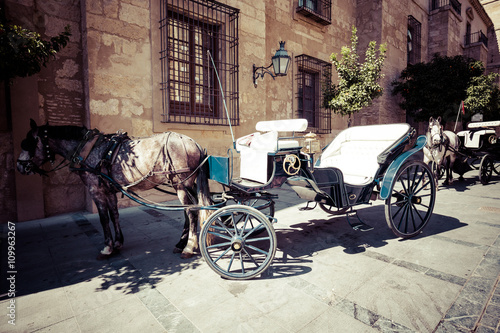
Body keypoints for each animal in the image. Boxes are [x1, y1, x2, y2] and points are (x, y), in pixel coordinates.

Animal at [16, 119, 212, 260]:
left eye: (27, 143)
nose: (20, 166)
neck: (88, 149)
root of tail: (194, 144)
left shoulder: (96, 190)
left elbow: (103, 218)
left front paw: (107, 248)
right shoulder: (109, 191)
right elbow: (114, 215)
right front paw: (118, 243)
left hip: (181, 184)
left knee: (192, 211)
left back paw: (189, 247)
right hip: (186, 184)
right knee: (188, 211)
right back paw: (181, 243)